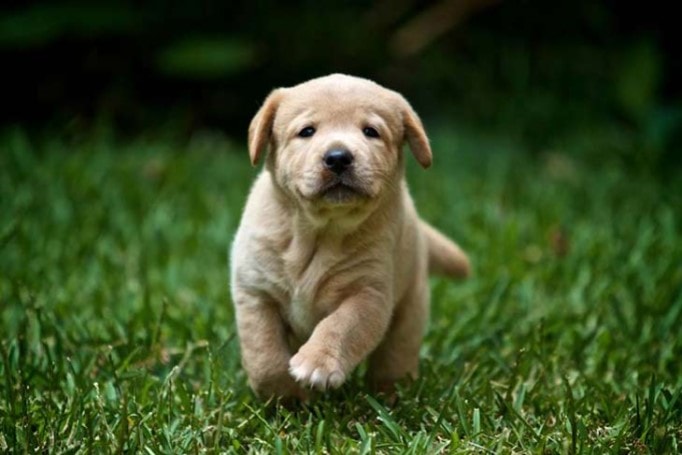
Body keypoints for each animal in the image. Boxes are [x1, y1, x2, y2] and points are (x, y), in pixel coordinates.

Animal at [228, 74, 468, 400]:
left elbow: (341, 325)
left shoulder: (369, 293)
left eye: (371, 132)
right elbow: (264, 354)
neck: (320, 231)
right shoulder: (255, 291)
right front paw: (286, 395)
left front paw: (317, 363)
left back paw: (390, 394)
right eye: (307, 131)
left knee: (396, 355)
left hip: (411, 305)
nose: (339, 157)